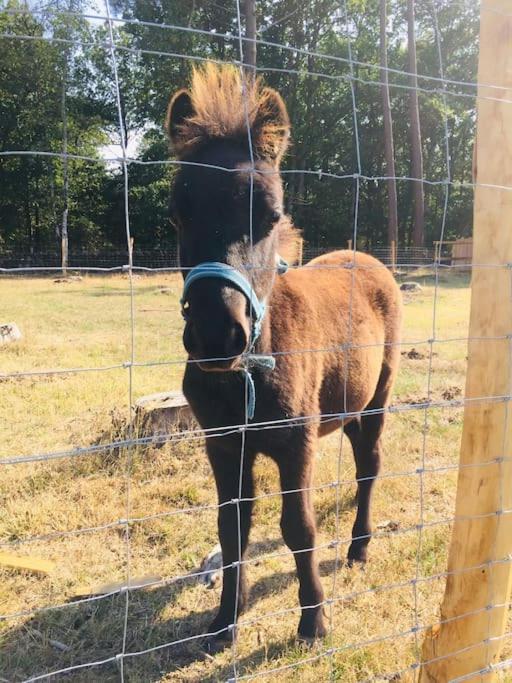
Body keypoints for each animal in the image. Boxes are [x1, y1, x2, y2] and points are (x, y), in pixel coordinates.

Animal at [166, 65, 402, 652]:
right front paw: (224, 621)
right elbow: (232, 529)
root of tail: (366, 257)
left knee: (370, 465)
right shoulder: (224, 445)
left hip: (378, 397)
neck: (248, 376)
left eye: (272, 215)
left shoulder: (296, 443)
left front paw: (313, 622)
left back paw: (359, 547)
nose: (217, 336)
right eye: (177, 216)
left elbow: (299, 527)